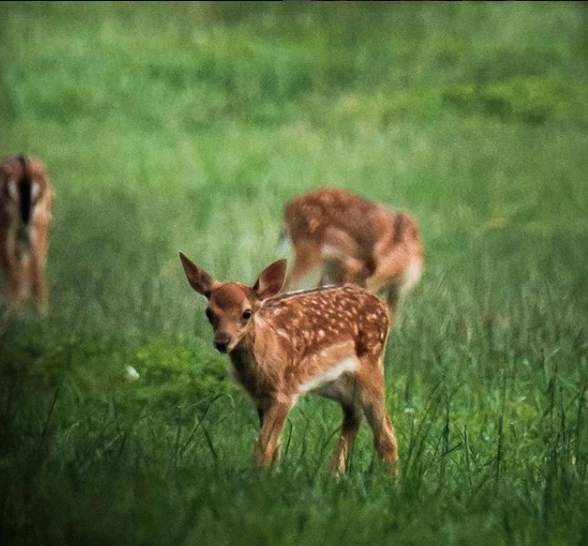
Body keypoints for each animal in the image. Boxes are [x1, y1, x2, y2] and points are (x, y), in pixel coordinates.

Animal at [179, 253, 400, 474]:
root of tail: (380, 304)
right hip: (336, 383)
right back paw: (333, 475)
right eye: (209, 313)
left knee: (385, 433)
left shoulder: (283, 394)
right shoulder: (261, 398)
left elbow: (264, 450)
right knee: (354, 413)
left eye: (246, 313)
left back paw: (391, 479)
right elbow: (273, 449)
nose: (222, 341)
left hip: (372, 365)